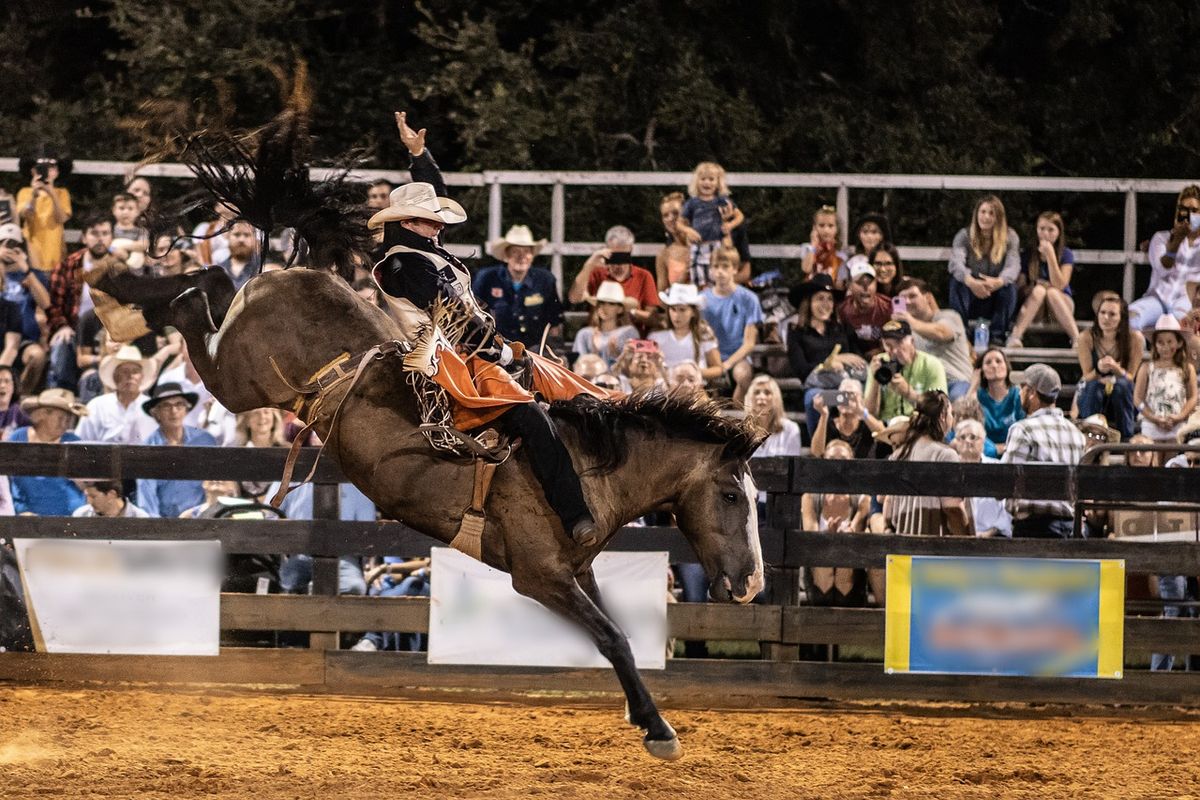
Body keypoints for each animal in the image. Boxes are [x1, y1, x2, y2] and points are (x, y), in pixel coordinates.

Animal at [96, 110, 768, 758]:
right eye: (732, 495)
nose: (751, 584)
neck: (585, 468)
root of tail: (294, 273)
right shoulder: (542, 575)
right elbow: (613, 639)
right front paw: (658, 730)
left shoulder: (580, 573)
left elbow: (617, 633)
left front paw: (645, 716)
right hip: (238, 379)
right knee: (190, 302)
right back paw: (117, 293)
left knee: (211, 280)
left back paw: (118, 291)